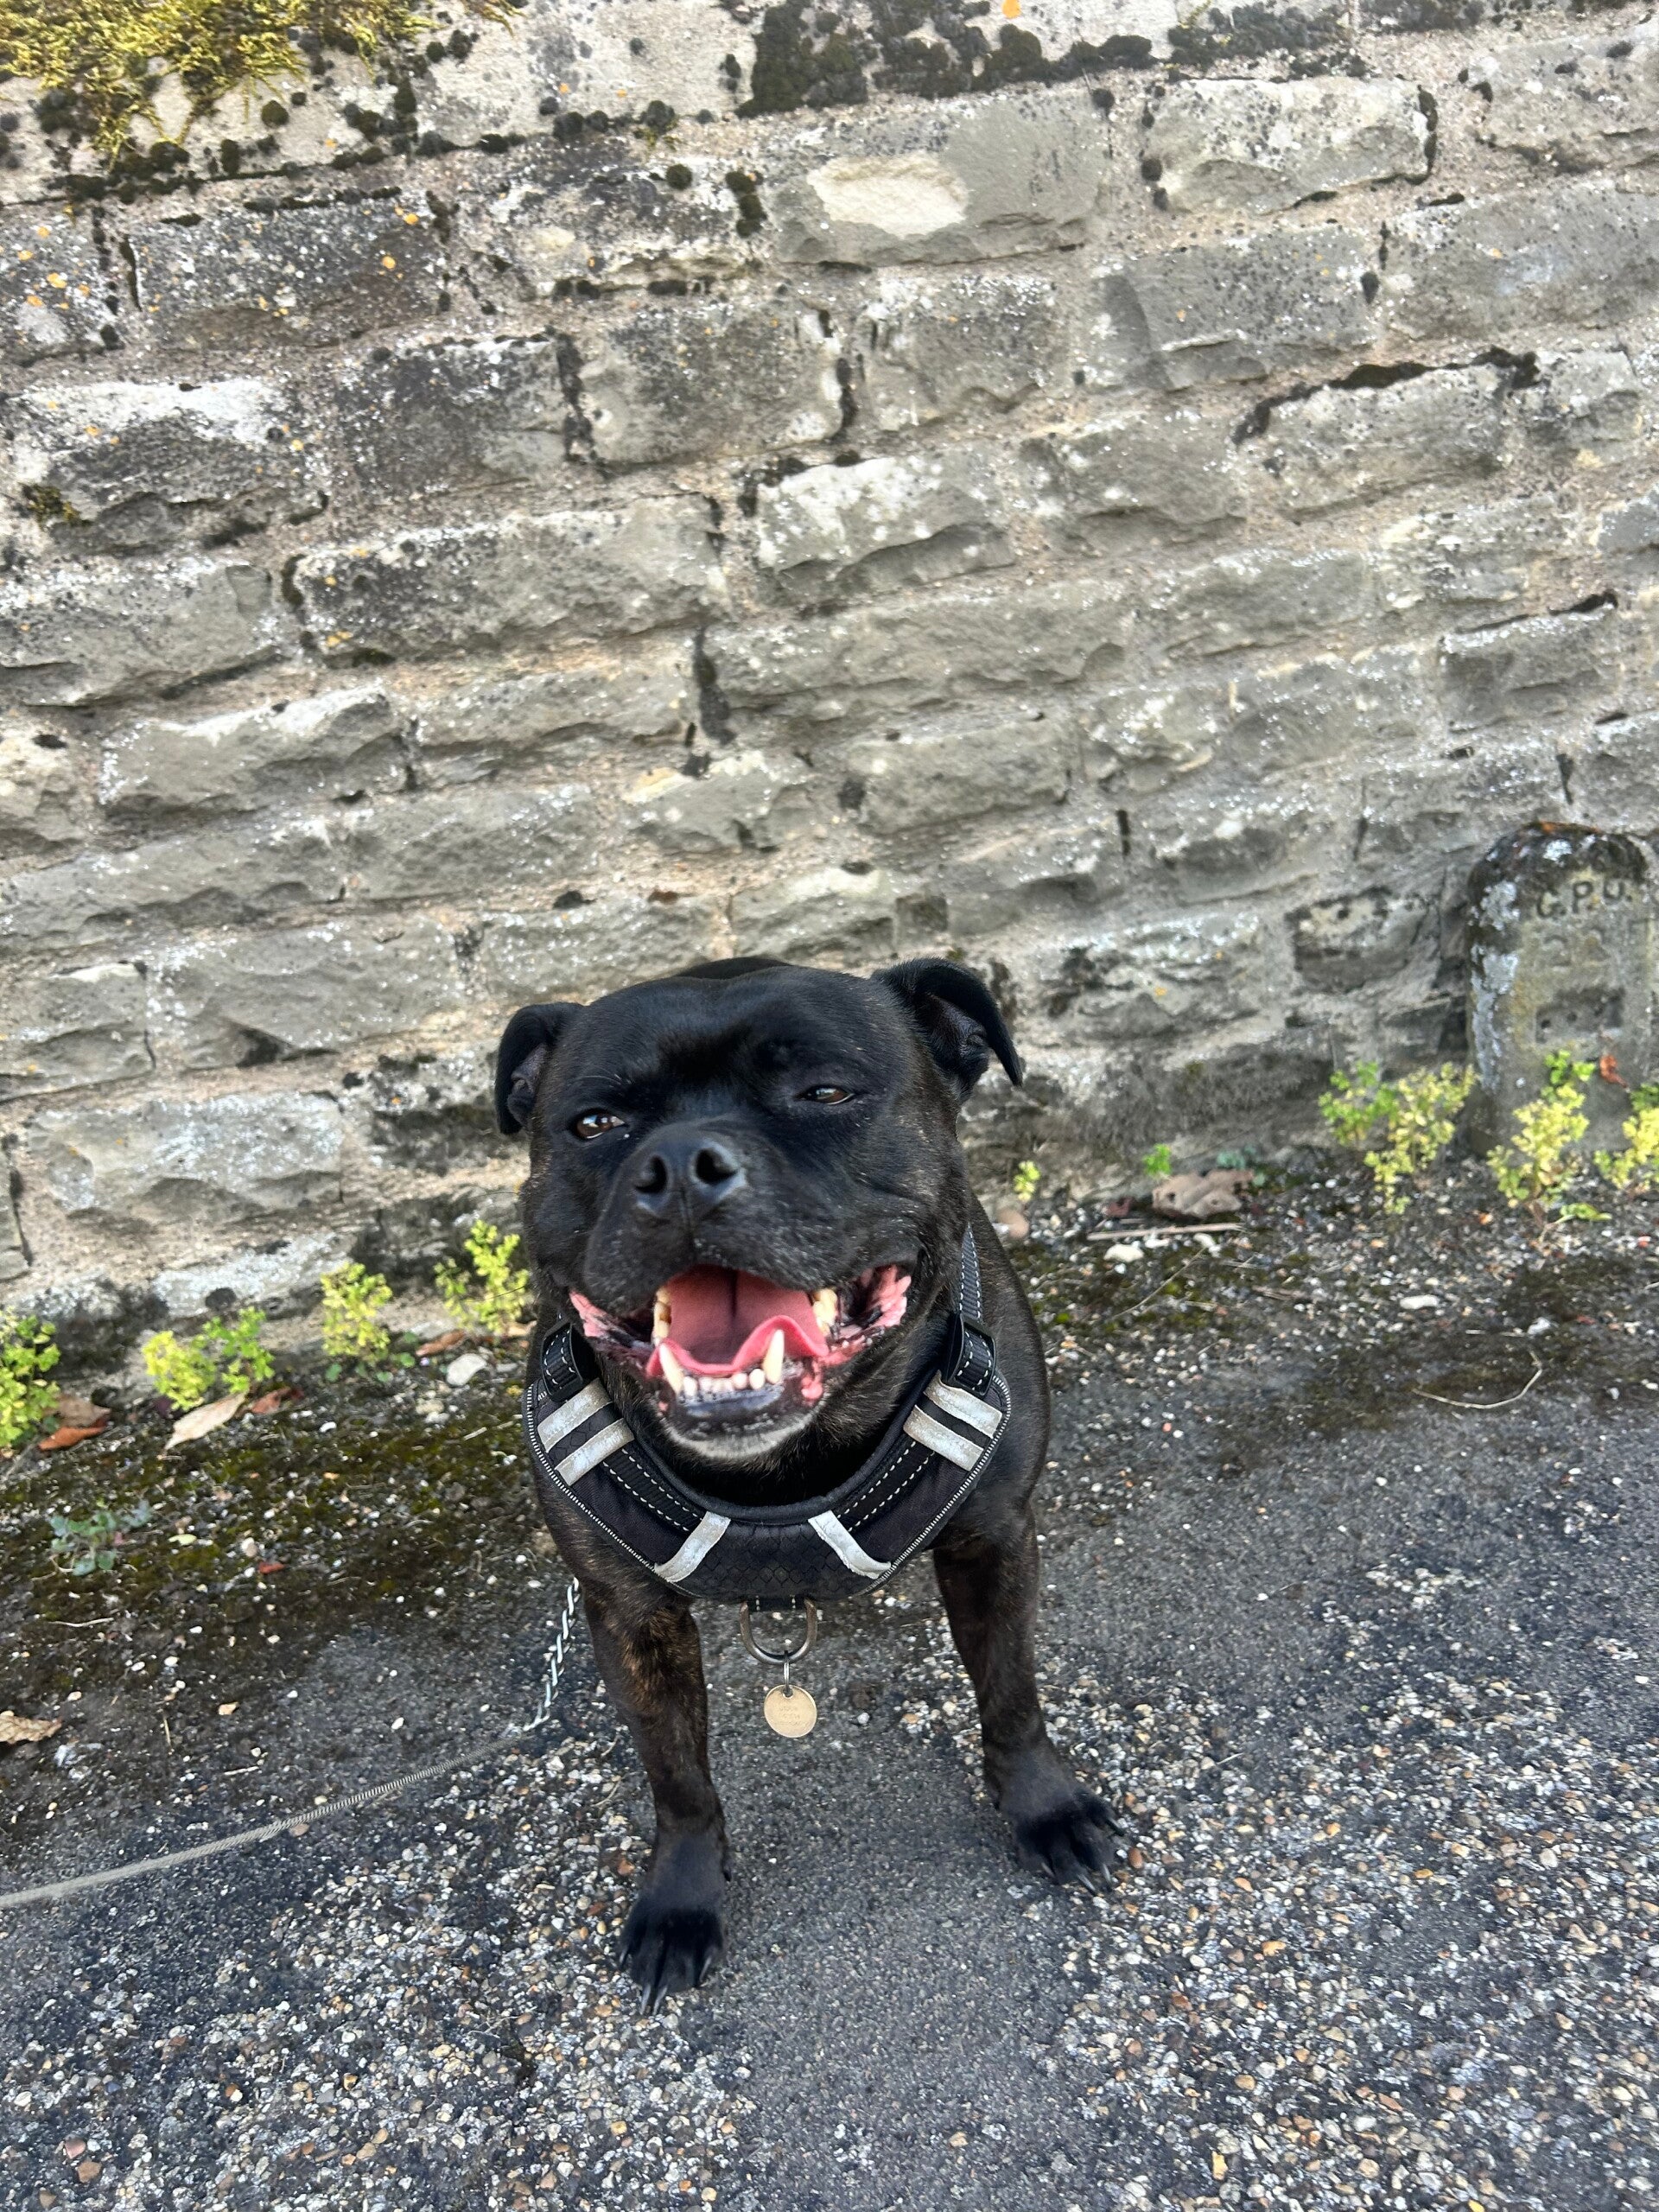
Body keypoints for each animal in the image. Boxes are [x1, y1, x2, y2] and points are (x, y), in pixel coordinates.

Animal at [495, 955, 1117, 2005]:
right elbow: (678, 1776)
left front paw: (1045, 1807)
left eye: (824, 1094)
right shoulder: (632, 1615)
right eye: (595, 1123)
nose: (681, 1165)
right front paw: (682, 1897)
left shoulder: (994, 1540)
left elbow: (1011, 1692)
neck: (787, 1466)